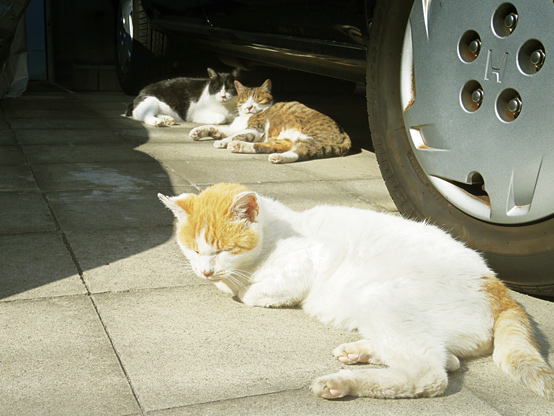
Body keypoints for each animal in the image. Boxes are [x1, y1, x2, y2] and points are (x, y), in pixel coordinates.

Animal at [158, 184, 552, 402]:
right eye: (192, 250)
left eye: (224, 249)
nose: (205, 270)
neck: (278, 231)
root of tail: (498, 286)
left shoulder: (298, 270)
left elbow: (250, 294)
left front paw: (236, 286)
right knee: (446, 359)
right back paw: (358, 352)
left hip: (383, 298)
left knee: (429, 373)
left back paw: (341, 383)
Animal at [188, 79, 348, 163]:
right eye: (244, 100)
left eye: (257, 99)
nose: (249, 107)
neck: (245, 117)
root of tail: (343, 131)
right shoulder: (235, 127)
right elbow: (219, 129)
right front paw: (198, 131)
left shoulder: (256, 129)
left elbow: (235, 135)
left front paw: (222, 141)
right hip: (285, 139)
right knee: (270, 146)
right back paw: (240, 146)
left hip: (311, 138)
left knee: (302, 151)